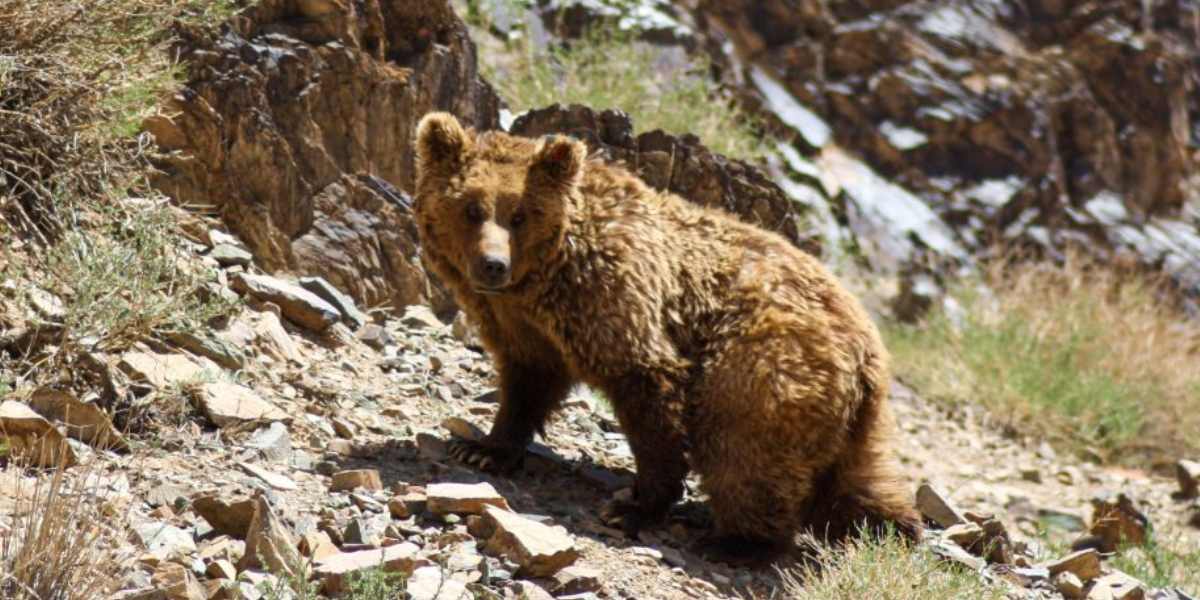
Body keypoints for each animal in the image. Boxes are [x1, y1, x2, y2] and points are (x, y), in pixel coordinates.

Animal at [412, 111, 916, 561]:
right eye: (471, 207)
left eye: (519, 214)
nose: (493, 265)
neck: (545, 278)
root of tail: (869, 351)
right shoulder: (524, 324)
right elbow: (526, 383)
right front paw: (482, 448)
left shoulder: (614, 298)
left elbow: (648, 388)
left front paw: (636, 506)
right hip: (852, 416)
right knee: (859, 478)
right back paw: (891, 529)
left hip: (762, 362)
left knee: (741, 448)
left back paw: (736, 542)